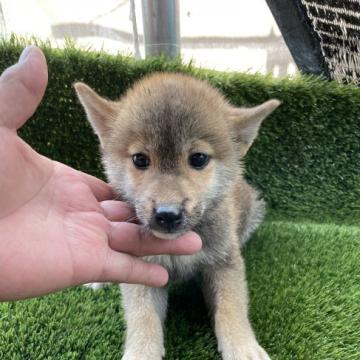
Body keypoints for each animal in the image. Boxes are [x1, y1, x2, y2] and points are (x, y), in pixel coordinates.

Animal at [74, 73, 280, 360]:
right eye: (140, 159)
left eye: (199, 158)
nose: (167, 214)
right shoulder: (144, 268)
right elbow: (143, 318)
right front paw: (141, 353)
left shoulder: (224, 263)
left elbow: (232, 308)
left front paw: (242, 346)